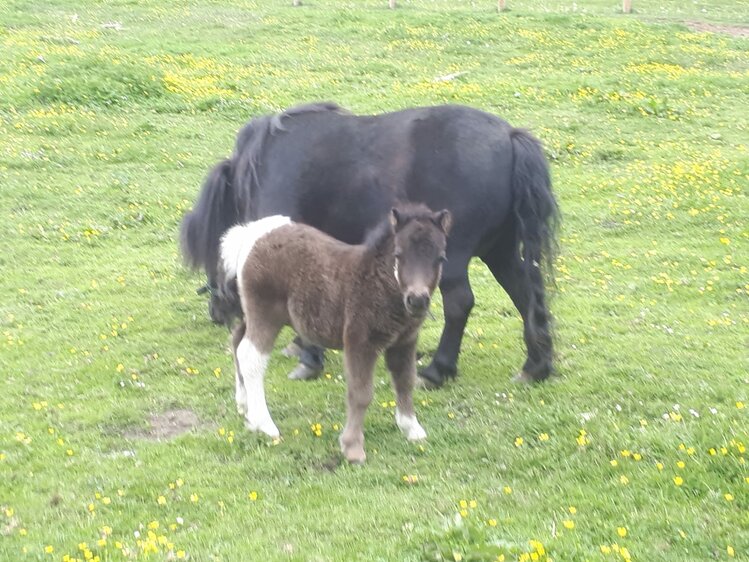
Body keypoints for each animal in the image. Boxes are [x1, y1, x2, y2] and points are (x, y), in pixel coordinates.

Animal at [180, 101, 556, 384]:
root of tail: (509, 136)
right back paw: (536, 366)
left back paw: (437, 370)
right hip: (501, 253)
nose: (216, 313)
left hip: (455, 260)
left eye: (211, 257)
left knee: (460, 304)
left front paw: (309, 356)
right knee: (525, 295)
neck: (266, 165)